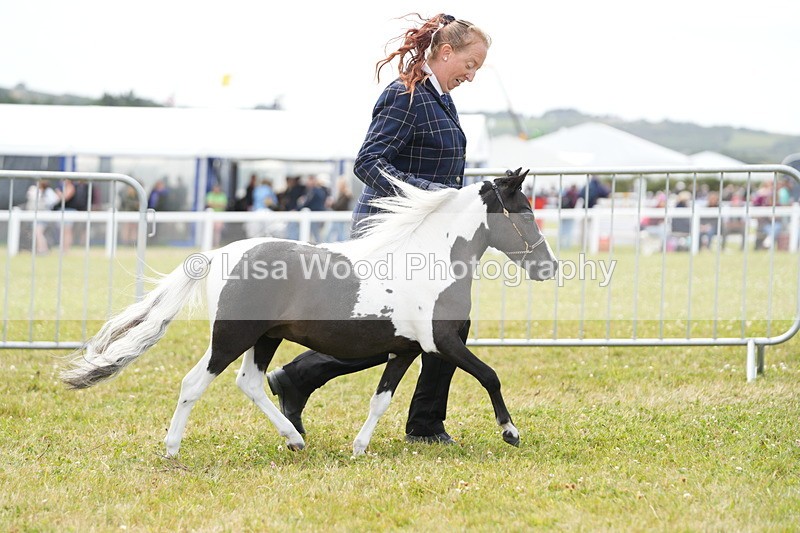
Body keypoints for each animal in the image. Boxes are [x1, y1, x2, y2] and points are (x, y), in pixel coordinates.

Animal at [60, 168, 558, 457]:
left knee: (251, 382)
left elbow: (381, 398)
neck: (428, 260)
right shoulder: (442, 342)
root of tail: (219, 255)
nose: (548, 266)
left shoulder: (406, 350)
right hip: (231, 337)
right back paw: (172, 449)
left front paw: (359, 448)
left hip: (266, 337)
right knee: (194, 383)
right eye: (525, 211)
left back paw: (295, 439)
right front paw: (511, 432)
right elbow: (490, 375)